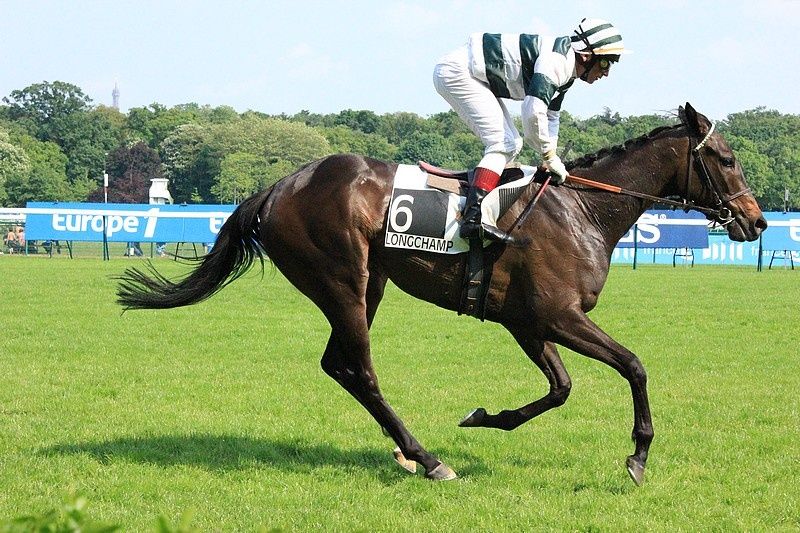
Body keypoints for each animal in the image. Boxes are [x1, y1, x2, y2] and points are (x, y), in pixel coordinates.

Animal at [115, 102, 764, 484]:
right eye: (726, 158)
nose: (756, 222)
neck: (581, 209)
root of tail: (277, 187)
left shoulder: (529, 322)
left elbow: (560, 388)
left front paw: (487, 417)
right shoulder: (559, 315)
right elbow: (633, 366)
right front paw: (637, 455)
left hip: (369, 284)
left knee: (338, 365)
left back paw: (408, 452)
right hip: (343, 281)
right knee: (360, 369)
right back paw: (427, 458)